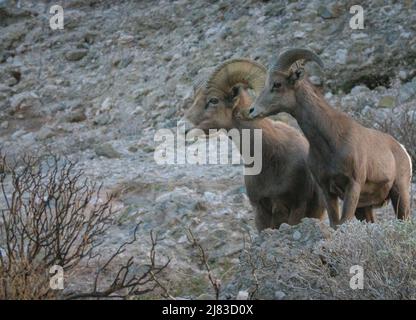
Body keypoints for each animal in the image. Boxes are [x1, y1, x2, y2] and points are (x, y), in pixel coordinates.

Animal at [182, 59, 324, 230]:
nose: (183, 126)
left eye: (214, 100)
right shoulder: (260, 212)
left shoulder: (297, 207)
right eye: (195, 99)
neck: (269, 159)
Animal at [247, 48, 412, 226]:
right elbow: (335, 224)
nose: (252, 110)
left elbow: (344, 221)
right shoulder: (327, 190)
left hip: (400, 193)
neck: (331, 141)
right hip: (364, 208)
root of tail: (402, 150)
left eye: (277, 84)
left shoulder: (353, 186)